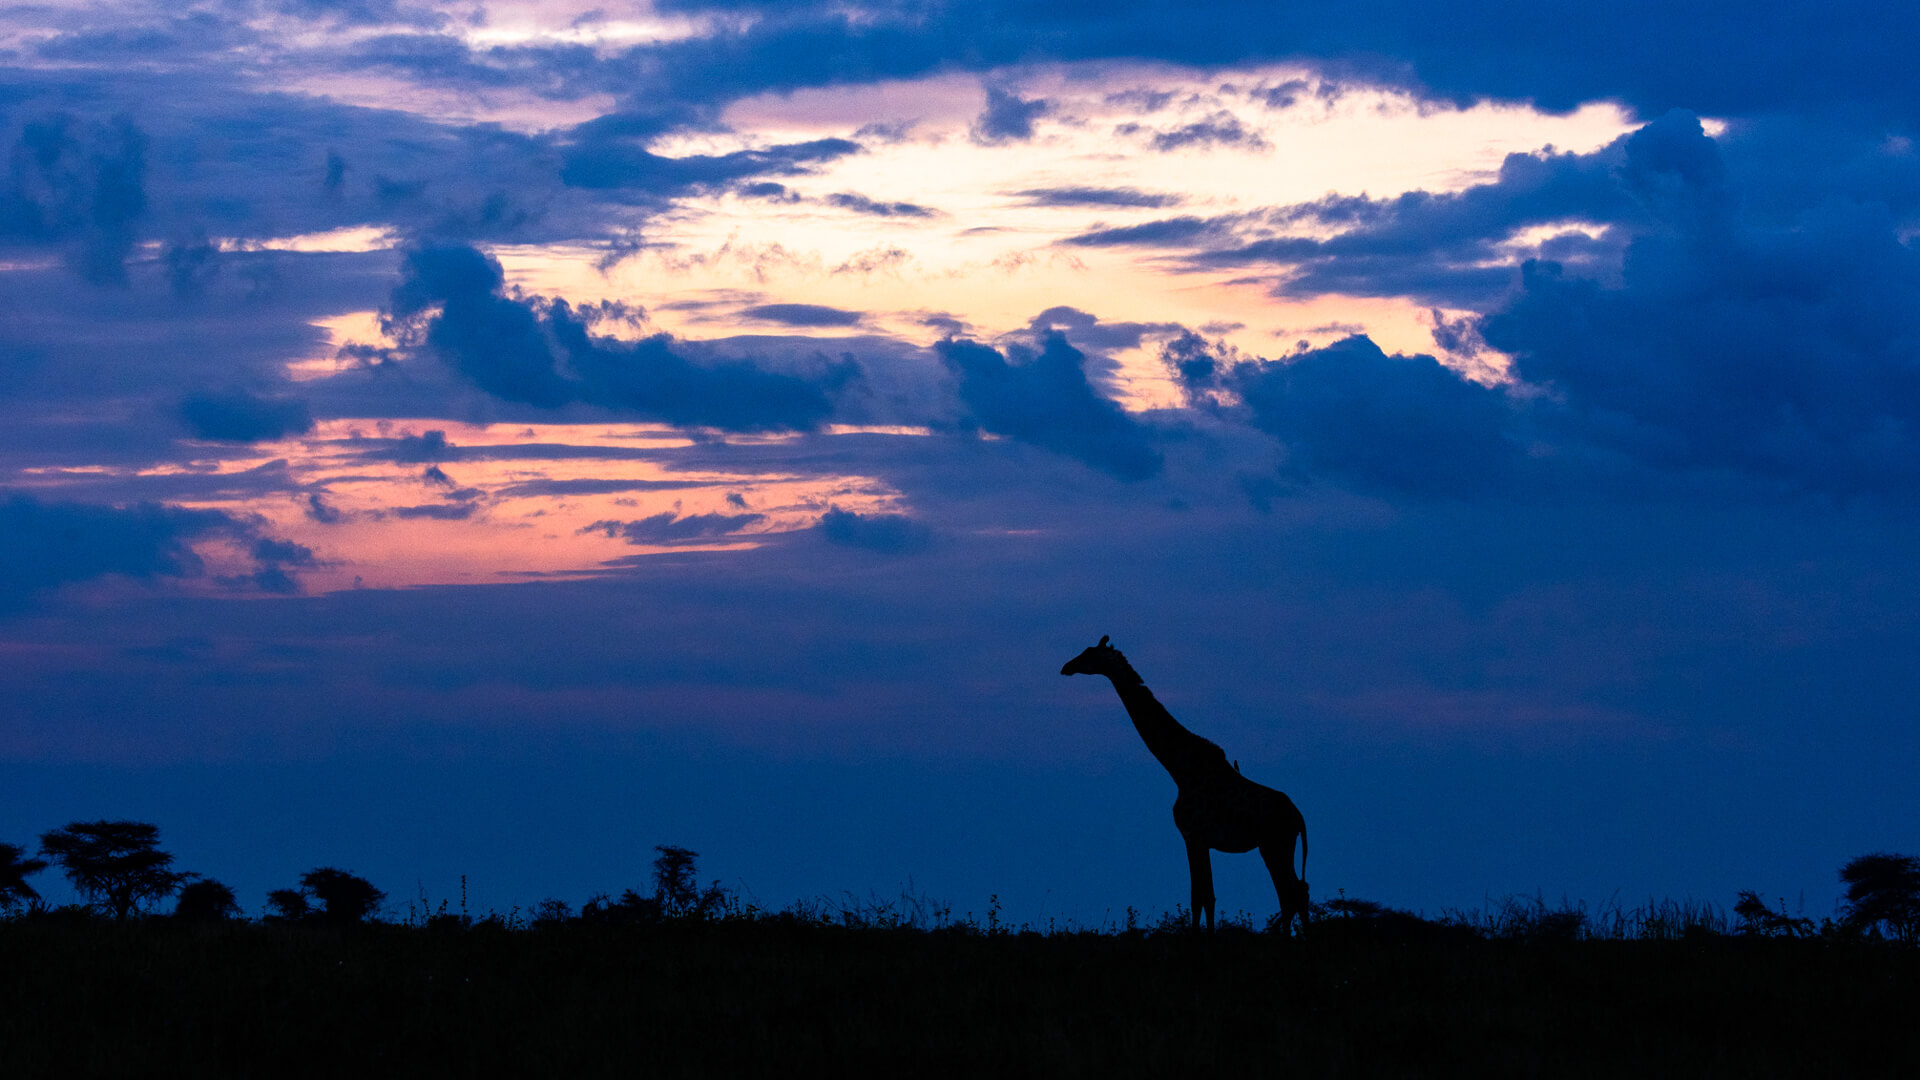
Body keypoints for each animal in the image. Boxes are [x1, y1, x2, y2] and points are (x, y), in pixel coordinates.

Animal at [1062, 636, 1310, 933]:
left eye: (1089, 654)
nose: (1066, 667)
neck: (1180, 769)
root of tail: (1299, 817)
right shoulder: (1201, 841)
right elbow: (1206, 895)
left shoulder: (1192, 836)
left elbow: (1199, 896)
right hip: (1277, 845)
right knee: (1296, 891)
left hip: (1275, 844)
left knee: (1291, 892)